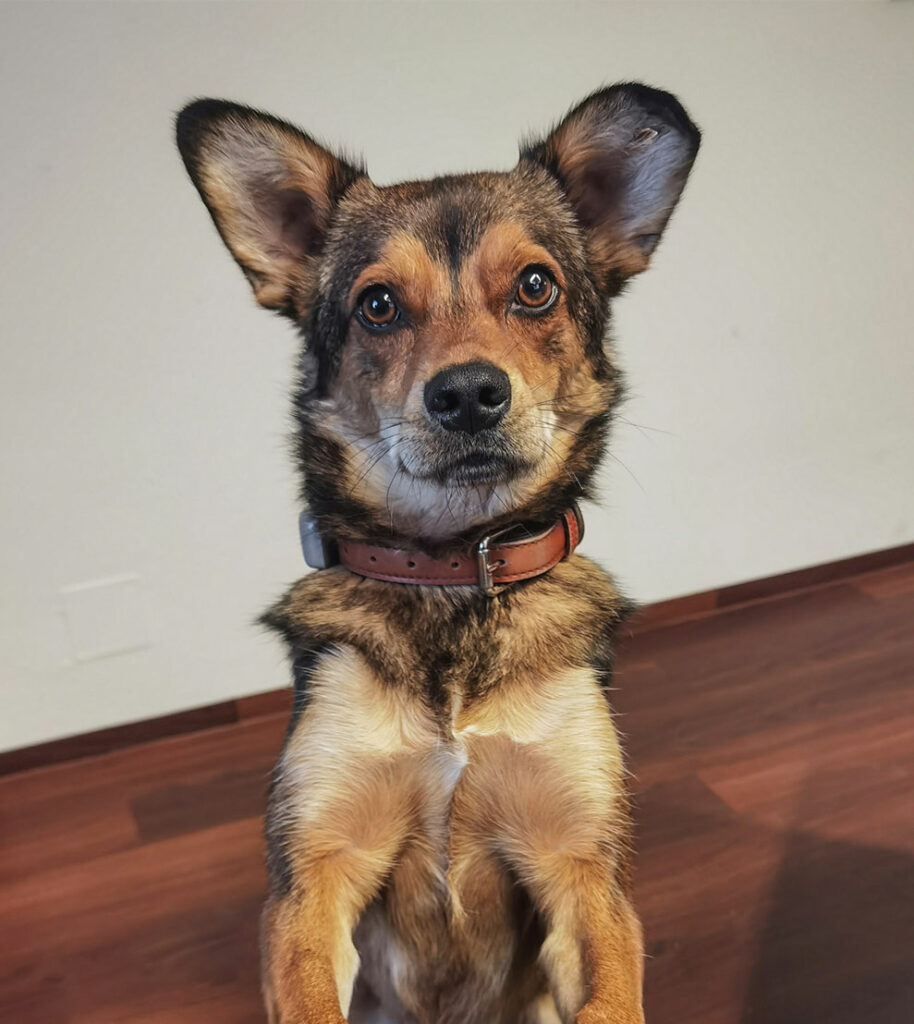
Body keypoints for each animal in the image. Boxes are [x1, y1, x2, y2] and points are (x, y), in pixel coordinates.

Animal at [176, 82, 699, 1024]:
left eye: (536, 286)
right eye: (378, 305)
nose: (466, 394)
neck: (456, 574)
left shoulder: (585, 874)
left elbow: (610, 995)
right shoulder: (311, 880)